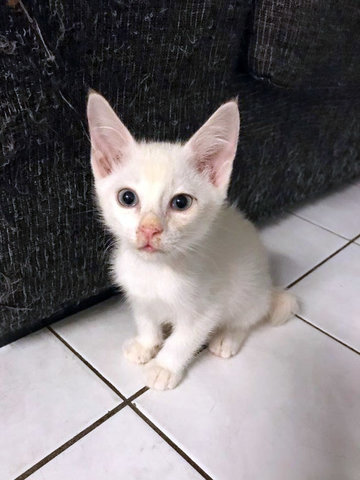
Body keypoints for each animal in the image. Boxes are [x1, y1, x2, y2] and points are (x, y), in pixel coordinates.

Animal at [86, 91, 296, 390]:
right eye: (127, 197)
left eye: (181, 202)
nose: (149, 230)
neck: (156, 271)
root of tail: (269, 287)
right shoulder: (138, 294)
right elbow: (146, 320)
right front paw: (146, 344)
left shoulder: (207, 308)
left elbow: (183, 340)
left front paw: (164, 367)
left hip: (249, 290)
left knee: (249, 316)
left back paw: (228, 337)